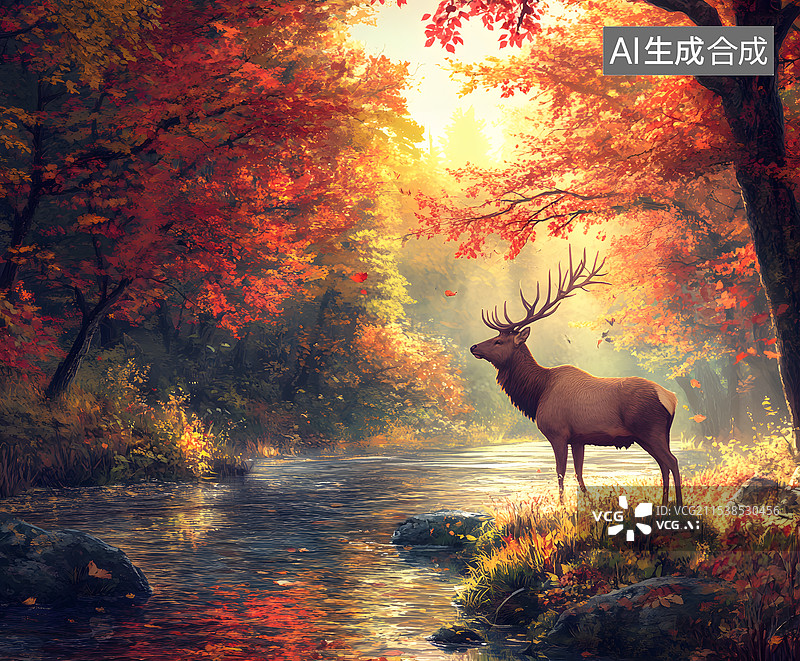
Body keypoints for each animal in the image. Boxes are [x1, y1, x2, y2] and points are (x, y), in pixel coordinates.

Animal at [470, 248, 682, 506]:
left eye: (498, 341)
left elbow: (560, 472)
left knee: (671, 461)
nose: (474, 347)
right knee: (664, 463)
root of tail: (670, 397)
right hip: (658, 433)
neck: (537, 392)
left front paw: (561, 506)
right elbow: (579, 473)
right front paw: (586, 503)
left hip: (649, 429)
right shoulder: (579, 438)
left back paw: (679, 505)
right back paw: (664, 503)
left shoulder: (557, 432)